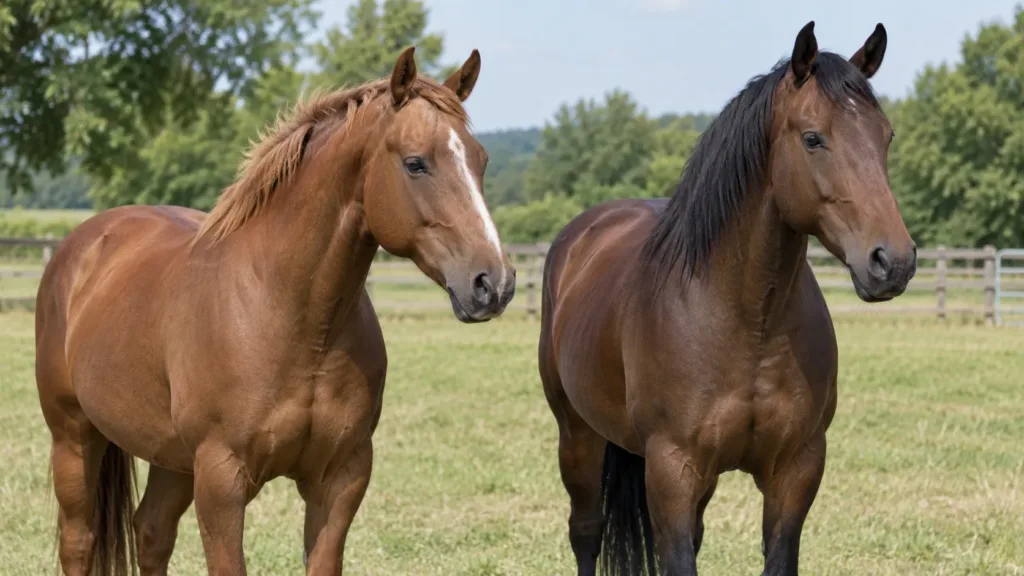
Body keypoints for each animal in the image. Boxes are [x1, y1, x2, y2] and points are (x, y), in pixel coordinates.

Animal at [34, 46, 515, 576]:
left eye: (481, 160)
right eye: (415, 163)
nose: (493, 283)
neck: (294, 320)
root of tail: (85, 243)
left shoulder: (340, 479)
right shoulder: (221, 481)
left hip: (172, 457)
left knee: (151, 532)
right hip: (73, 437)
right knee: (79, 541)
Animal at [538, 22, 915, 576]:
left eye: (884, 136)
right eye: (813, 138)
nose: (894, 261)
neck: (748, 320)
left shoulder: (796, 471)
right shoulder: (671, 471)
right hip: (577, 434)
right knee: (585, 531)